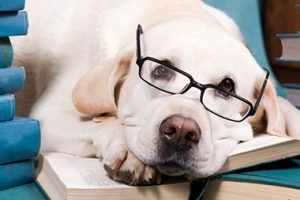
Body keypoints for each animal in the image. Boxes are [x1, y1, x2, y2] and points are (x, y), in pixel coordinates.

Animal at [11, 0, 300, 186]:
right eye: (161, 70)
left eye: (226, 87)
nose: (181, 131)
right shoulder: (48, 116)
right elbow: (107, 124)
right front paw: (132, 156)